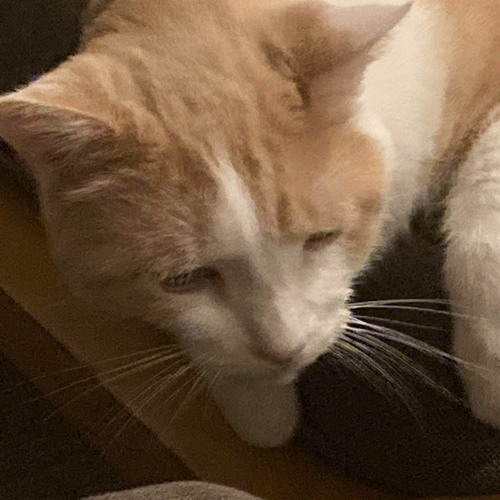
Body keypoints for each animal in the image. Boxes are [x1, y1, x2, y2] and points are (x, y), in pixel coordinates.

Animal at [0, 0, 500, 448]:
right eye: (183, 280)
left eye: (322, 238)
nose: (284, 349)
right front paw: (257, 404)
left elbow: (482, 227)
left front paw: (489, 369)